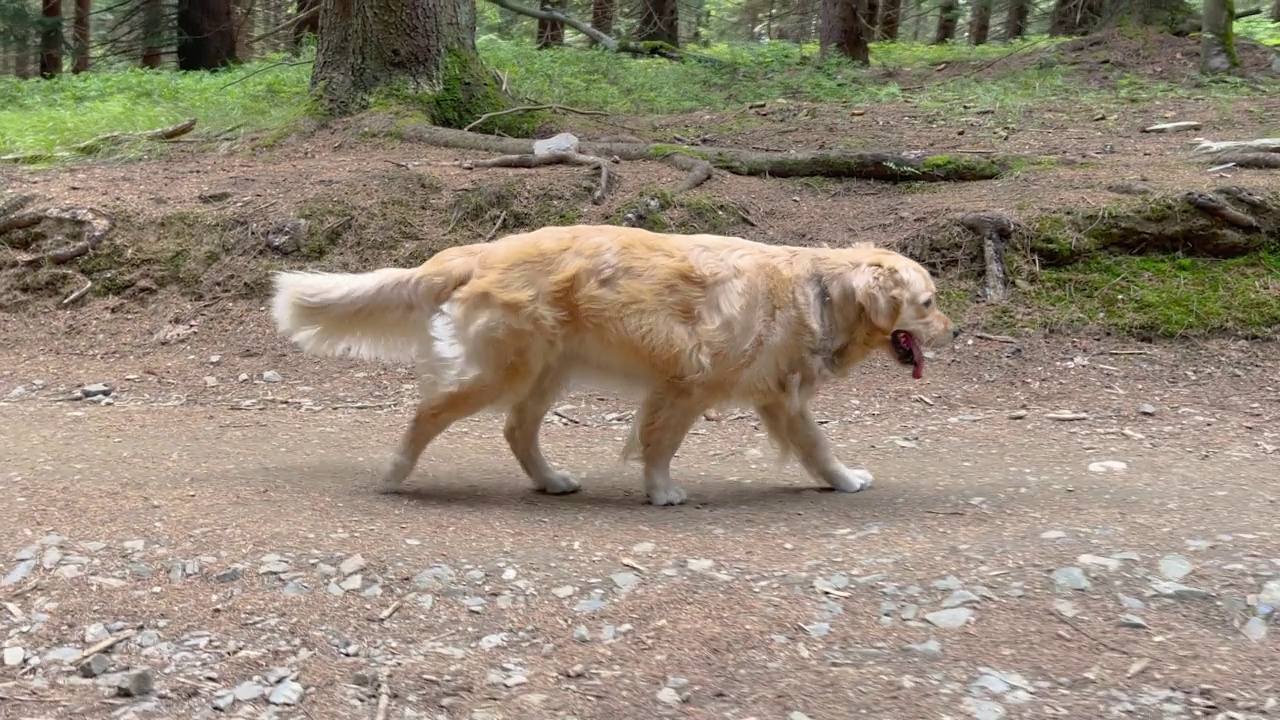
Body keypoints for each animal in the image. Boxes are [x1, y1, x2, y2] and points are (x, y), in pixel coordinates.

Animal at [270, 224, 957, 504]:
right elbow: (659, 445)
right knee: (427, 413)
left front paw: (840, 480)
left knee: (516, 430)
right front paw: (661, 492)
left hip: (547, 372)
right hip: (501, 371)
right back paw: (394, 472)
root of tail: (482, 250)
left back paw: (550, 480)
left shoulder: (778, 397)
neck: (820, 290)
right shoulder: (689, 385)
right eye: (928, 303)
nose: (955, 331)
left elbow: (815, 446)